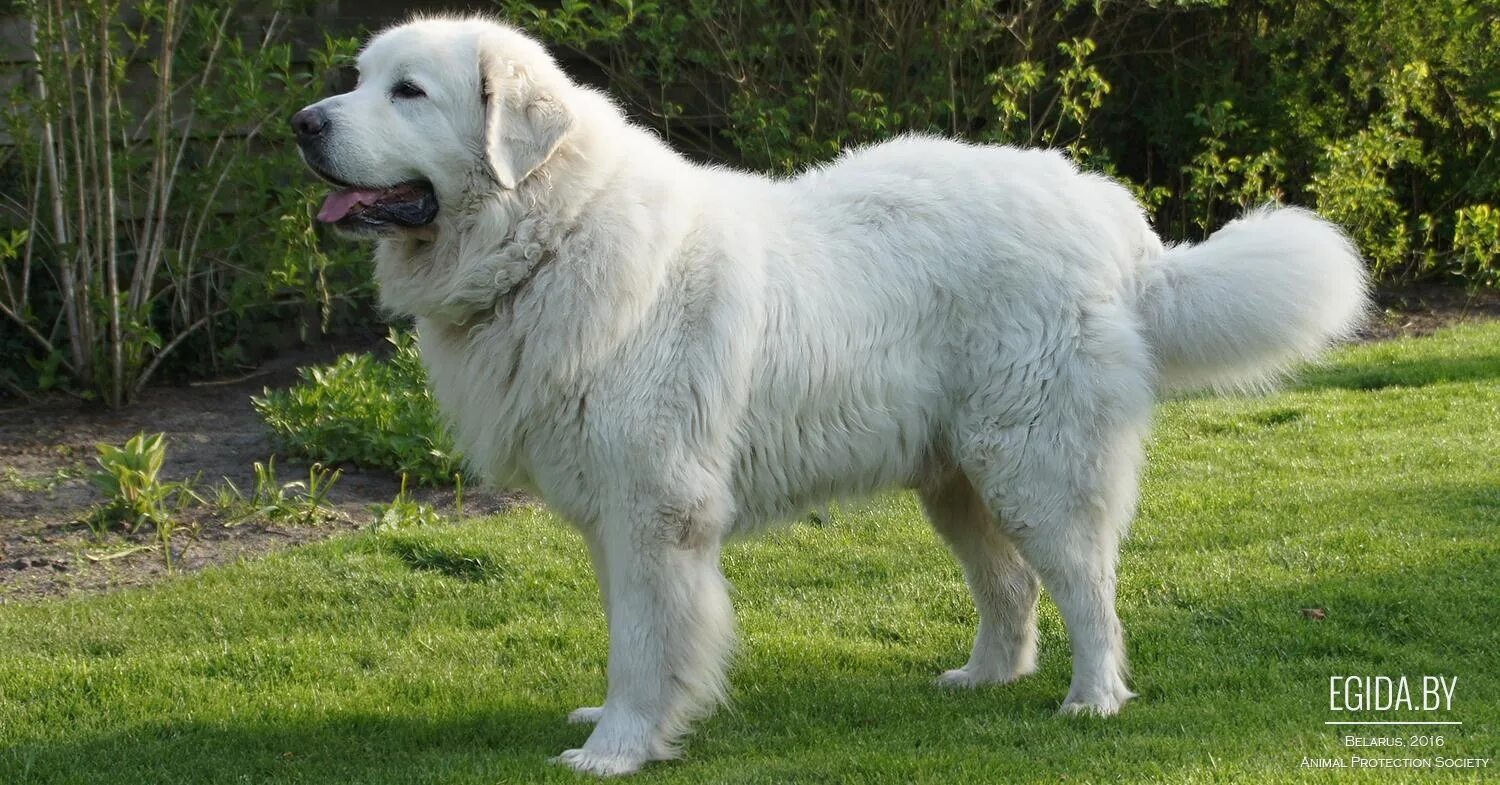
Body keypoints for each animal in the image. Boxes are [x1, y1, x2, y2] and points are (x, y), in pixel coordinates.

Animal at [292, 15, 1374, 774]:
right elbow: (630, 629)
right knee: (1013, 587)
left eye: (408, 91)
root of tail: (1115, 220)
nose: (305, 122)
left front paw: (618, 747)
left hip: (1034, 465)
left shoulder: (654, 507)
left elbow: (645, 638)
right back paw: (983, 677)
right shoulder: (611, 510)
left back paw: (1094, 698)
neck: (552, 233)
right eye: (357, 79)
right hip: (958, 480)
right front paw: (618, 721)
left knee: (1088, 584)